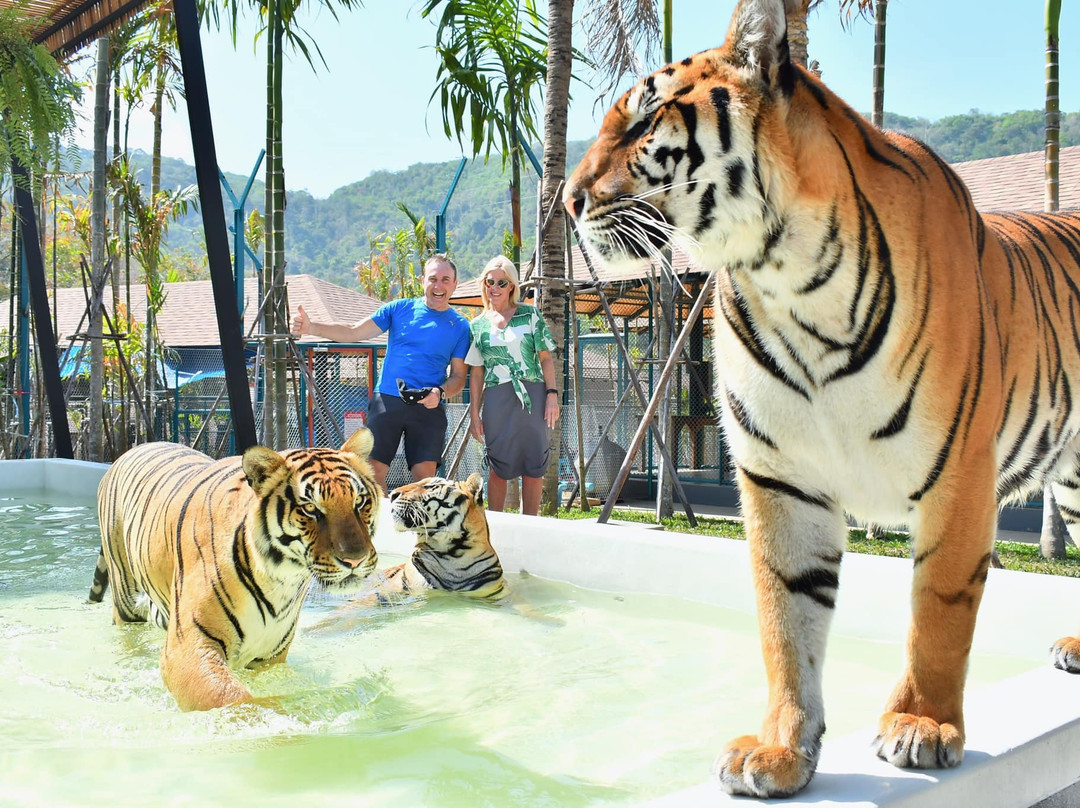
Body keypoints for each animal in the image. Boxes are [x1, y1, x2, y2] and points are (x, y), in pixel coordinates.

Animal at [90, 425, 382, 708]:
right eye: (310, 508)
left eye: (359, 502)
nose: (355, 560)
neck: (282, 579)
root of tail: (127, 453)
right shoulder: (186, 646)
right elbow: (232, 700)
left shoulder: (269, 657)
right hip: (126, 602)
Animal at [565, 0, 1080, 795]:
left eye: (644, 118)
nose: (566, 200)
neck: (788, 278)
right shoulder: (782, 477)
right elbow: (786, 619)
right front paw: (780, 749)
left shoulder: (960, 475)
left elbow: (938, 612)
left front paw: (922, 724)